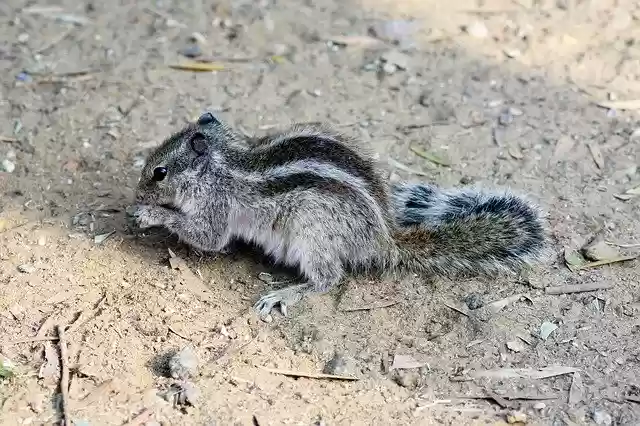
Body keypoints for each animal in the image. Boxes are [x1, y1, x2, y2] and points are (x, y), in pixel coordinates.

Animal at [132, 112, 550, 318]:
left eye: (159, 173)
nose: (137, 192)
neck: (222, 162)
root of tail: (385, 242)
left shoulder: (215, 207)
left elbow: (208, 237)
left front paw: (150, 213)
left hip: (312, 234)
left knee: (328, 279)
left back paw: (284, 293)